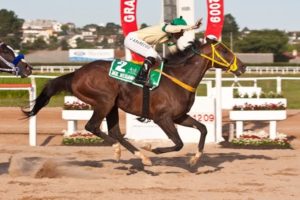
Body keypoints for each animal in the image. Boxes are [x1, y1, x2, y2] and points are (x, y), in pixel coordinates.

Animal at [21, 38, 246, 166]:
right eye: (225, 51)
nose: (243, 67)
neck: (179, 78)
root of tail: (75, 74)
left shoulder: (180, 116)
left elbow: (203, 129)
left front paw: (195, 158)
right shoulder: (162, 118)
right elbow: (178, 143)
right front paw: (151, 147)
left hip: (112, 105)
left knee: (114, 131)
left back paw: (140, 156)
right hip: (104, 101)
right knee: (93, 126)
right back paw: (124, 151)